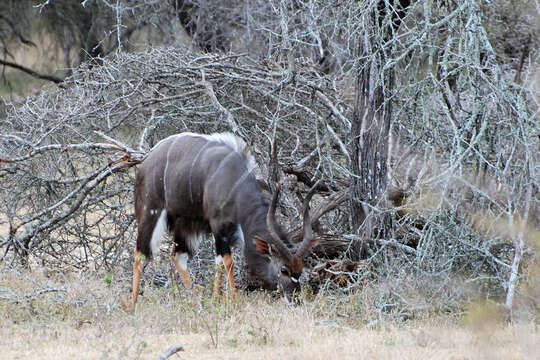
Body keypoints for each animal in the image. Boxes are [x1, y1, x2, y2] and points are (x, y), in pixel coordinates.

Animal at [131, 132, 316, 310]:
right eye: (283, 269)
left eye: (300, 269)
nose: (295, 300)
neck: (235, 186)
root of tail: (147, 160)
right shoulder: (219, 227)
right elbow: (228, 261)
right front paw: (233, 300)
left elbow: (219, 262)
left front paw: (215, 300)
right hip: (150, 213)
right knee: (140, 254)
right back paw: (132, 306)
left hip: (185, 225)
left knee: (178, 256)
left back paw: (197, 304)